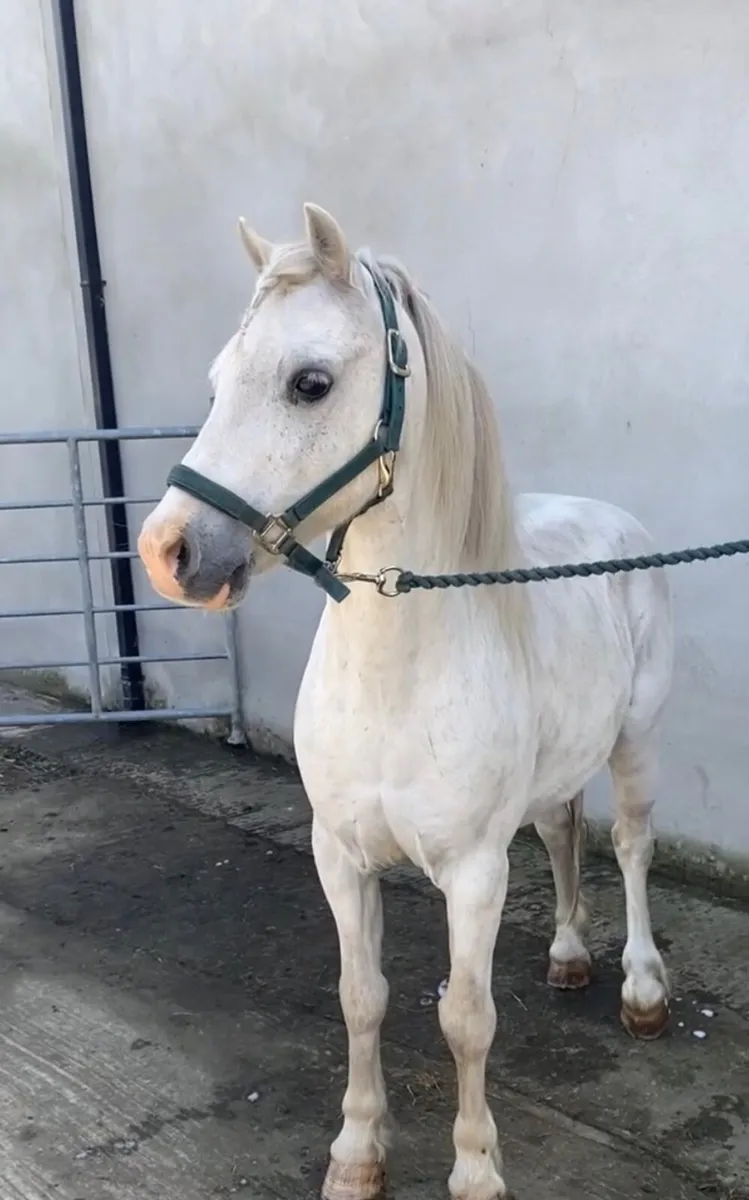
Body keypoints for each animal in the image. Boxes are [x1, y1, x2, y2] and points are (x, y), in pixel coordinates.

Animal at [138, 203, 674, 1200]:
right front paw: (356, 1153)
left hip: (634, 742)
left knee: (627, 845)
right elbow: (362, 998)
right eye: (217, 381)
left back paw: (641, 990)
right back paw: (568, 957)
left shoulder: (473, 871)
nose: (168, 552)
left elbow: (465, 1017)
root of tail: (616, 524)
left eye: (309, 383)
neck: (396, 672)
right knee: (564, 834)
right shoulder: (340, 856)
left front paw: (474, 1169)